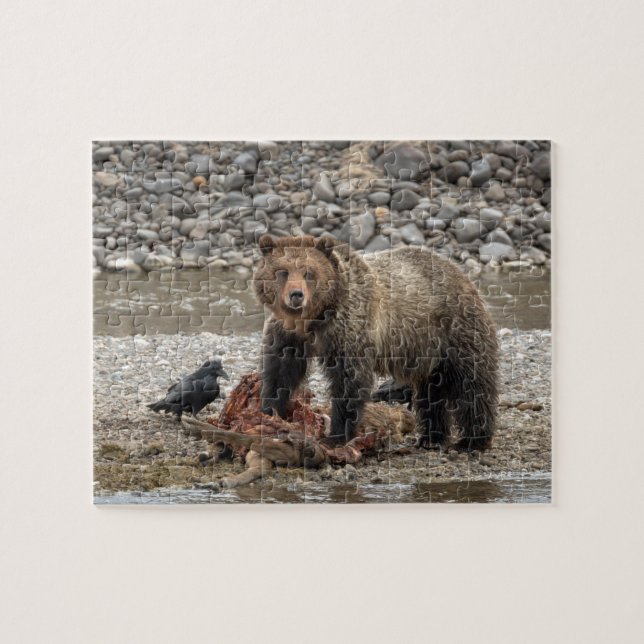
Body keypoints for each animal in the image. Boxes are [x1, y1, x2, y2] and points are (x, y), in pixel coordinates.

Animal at [252, 234, 499, 451]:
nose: (296, 295)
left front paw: (336, 435)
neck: (311, 321)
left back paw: (472, 440)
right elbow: (280, 373)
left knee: (472, 385)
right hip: (428, 352)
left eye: (309, 272)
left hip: (456, 331)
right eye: (282, 272)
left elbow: (349, 381)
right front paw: (268, 412)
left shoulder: (351, 329)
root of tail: (460, 274)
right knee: (432, 393)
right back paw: (431, 438)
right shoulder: (286, 336)